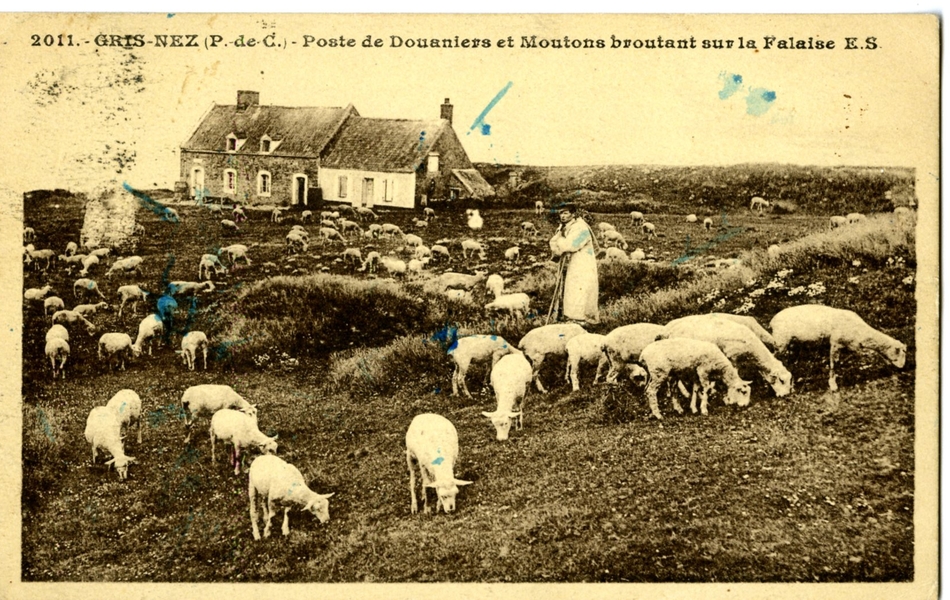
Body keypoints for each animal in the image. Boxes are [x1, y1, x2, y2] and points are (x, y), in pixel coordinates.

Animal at [768, 302, 912, 392]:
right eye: (901, 352)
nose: (902, 368)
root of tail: (772, 322)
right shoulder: (835, 343)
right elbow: (834, 364)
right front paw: (833, 385)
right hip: (781, 342)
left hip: (789, 344)